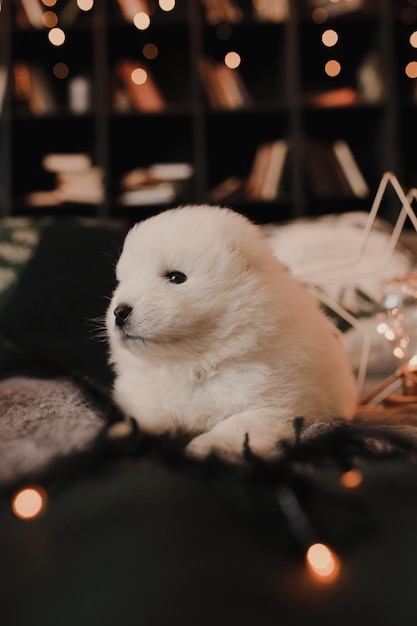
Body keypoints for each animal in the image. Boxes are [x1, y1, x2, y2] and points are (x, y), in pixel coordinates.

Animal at [105, 204, 356, 458]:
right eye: (122, 281)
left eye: (176, 277)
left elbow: (236, 427)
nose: (119, 312)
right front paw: (120, 433)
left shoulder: (274, 407)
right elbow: (145, 417)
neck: (190, 365)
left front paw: (206, 446)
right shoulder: (144, 395)